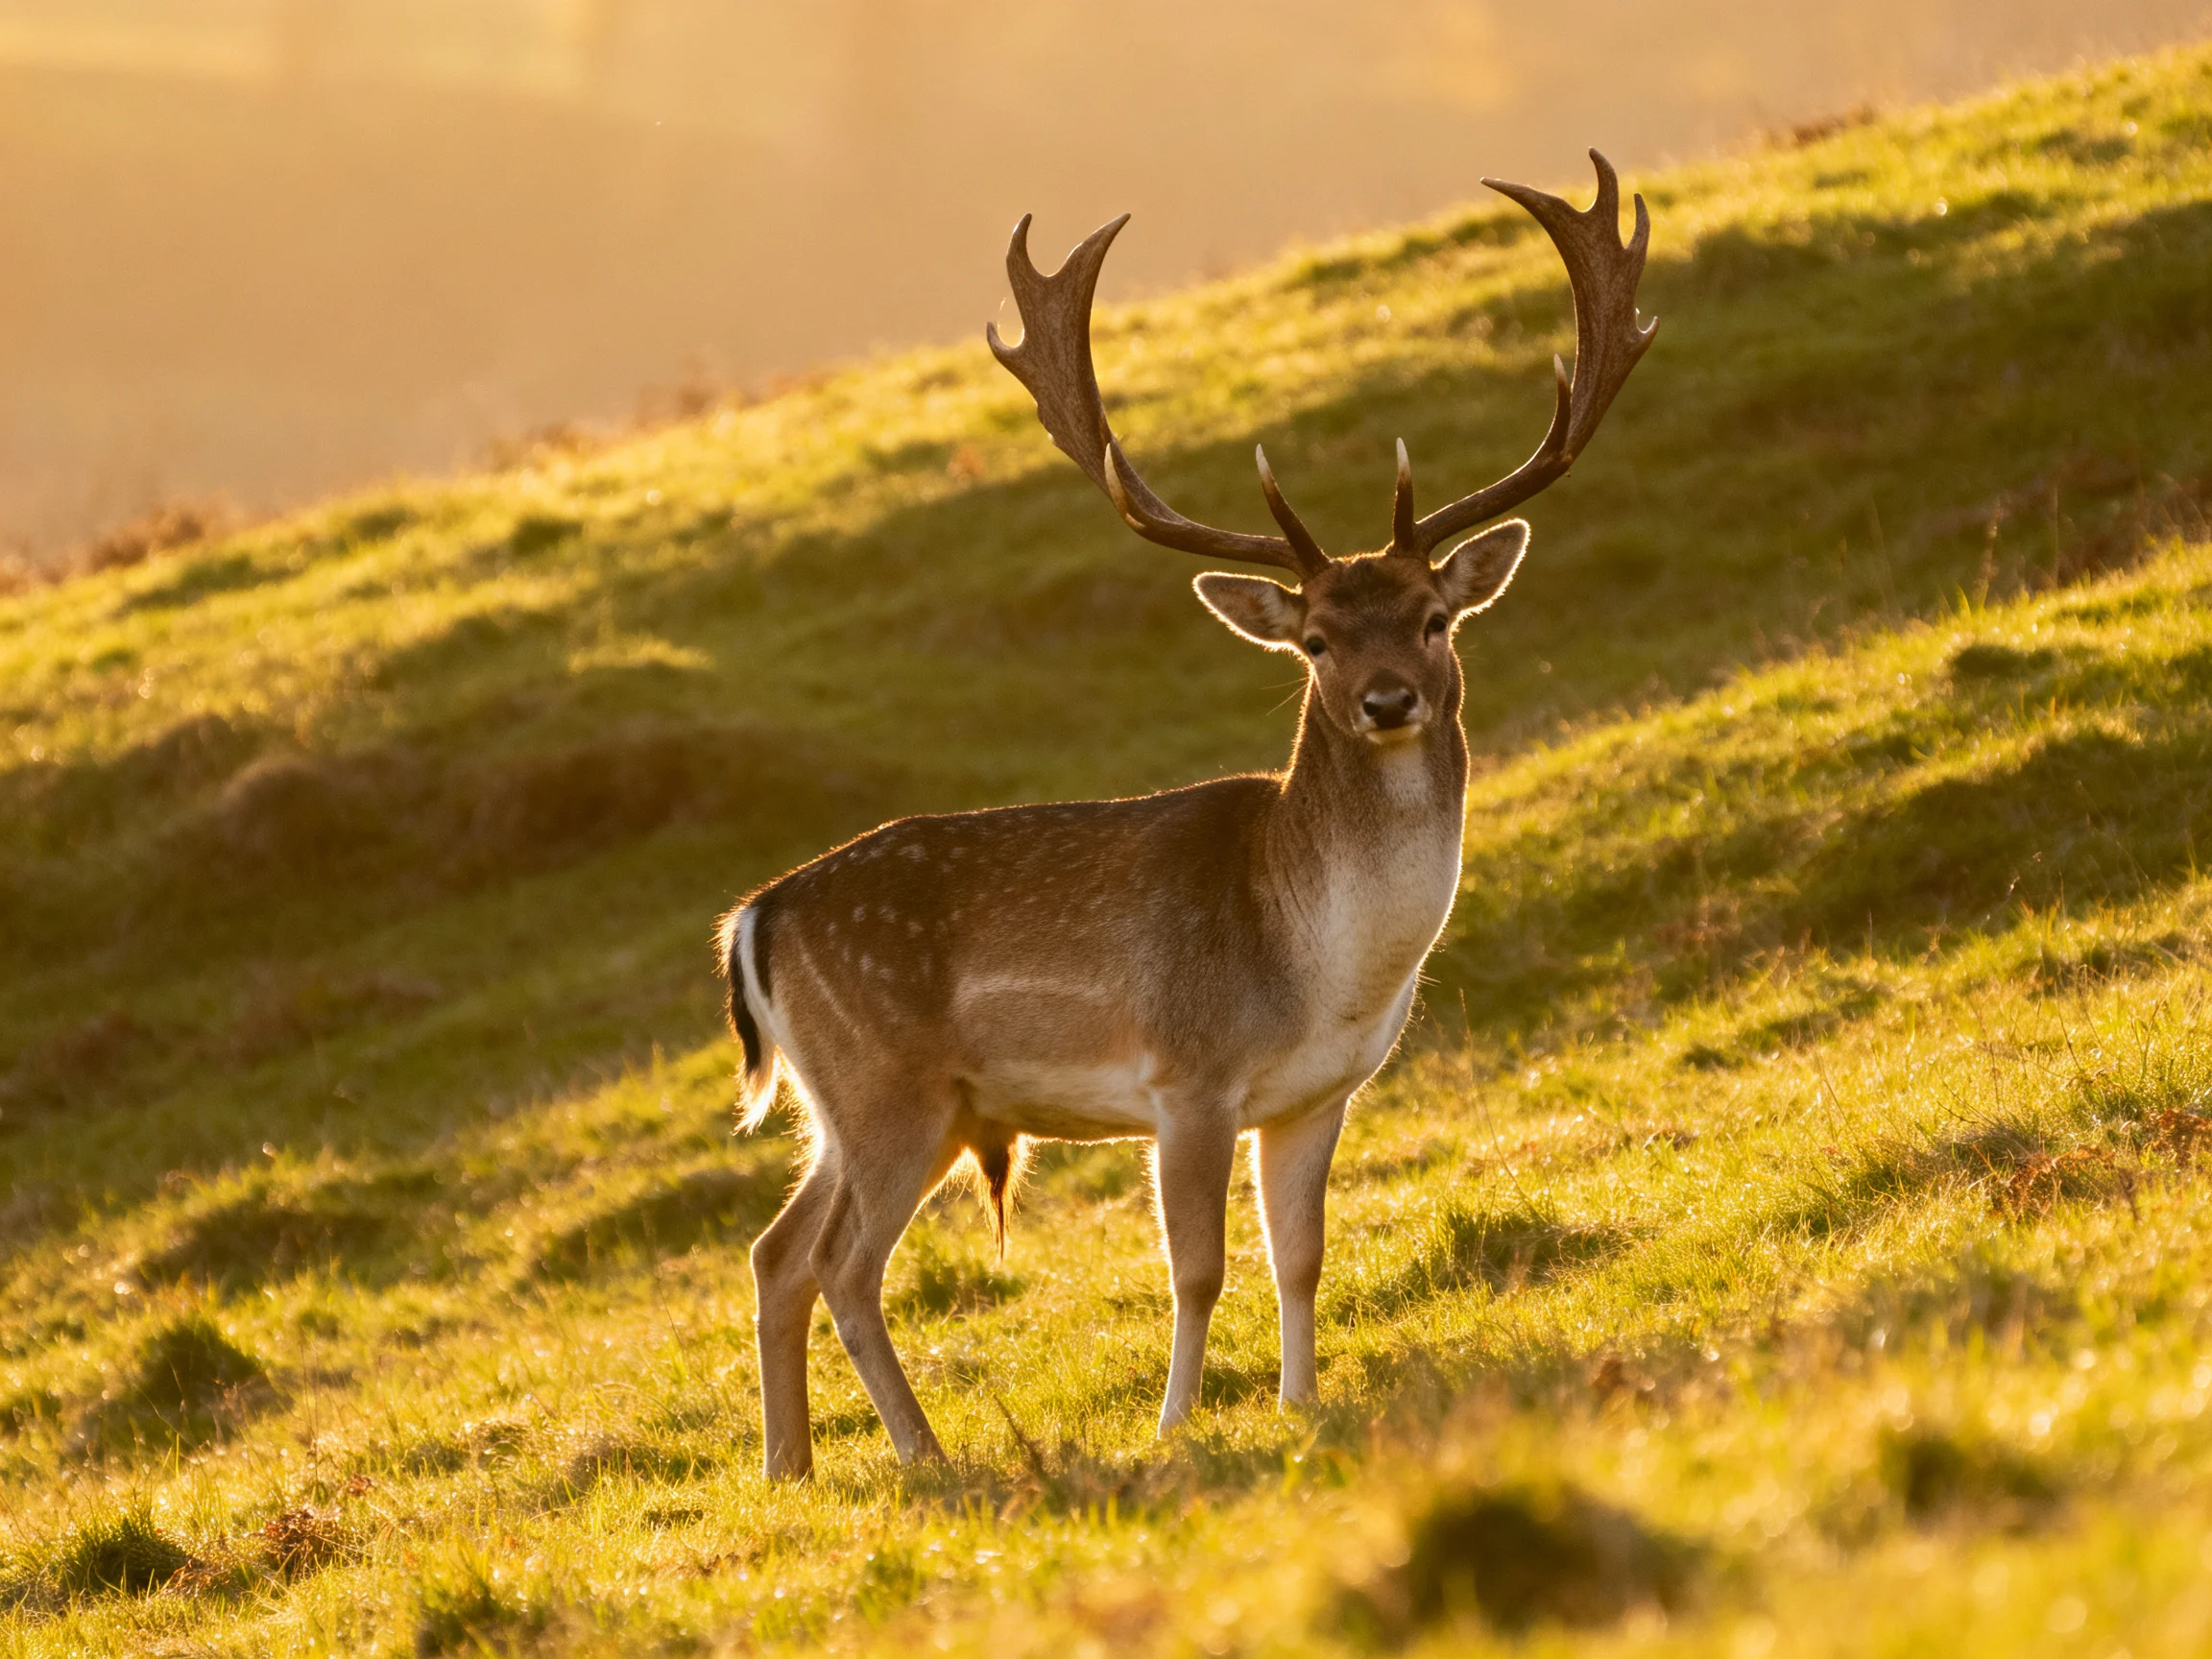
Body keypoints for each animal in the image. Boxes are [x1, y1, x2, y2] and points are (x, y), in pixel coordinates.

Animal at [717, 152, 1655, 1479]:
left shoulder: (1317, 1095)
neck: (1326, 969)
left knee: (776, 1251)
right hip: (887, 1086)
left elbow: (1301, 1255)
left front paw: (1303, 1405)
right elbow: (1199, 1270)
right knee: (843, 1263)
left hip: (865, 1107)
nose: (1387, 701)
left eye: (1434, 616)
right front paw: (1175, 1425)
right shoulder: (1189, 1079)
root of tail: (754, 919)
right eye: (1315, 639)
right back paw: (925, 1455)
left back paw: (790, 1469)